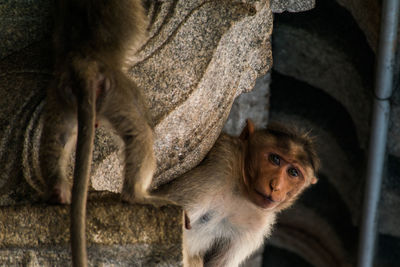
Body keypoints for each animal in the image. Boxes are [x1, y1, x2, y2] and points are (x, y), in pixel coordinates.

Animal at [38, 1, 155, 266]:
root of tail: (84, 62)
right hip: (116, 89)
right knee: (140, 133)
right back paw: (135, 196)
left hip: (61, 93)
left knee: (57, 136)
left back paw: (58, 189)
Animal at [153, 120, 318, 267]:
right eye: (275, 159)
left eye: (293, 172)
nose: (275, 186)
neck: (242, 191)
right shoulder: (222, 162)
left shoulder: (258, 225)